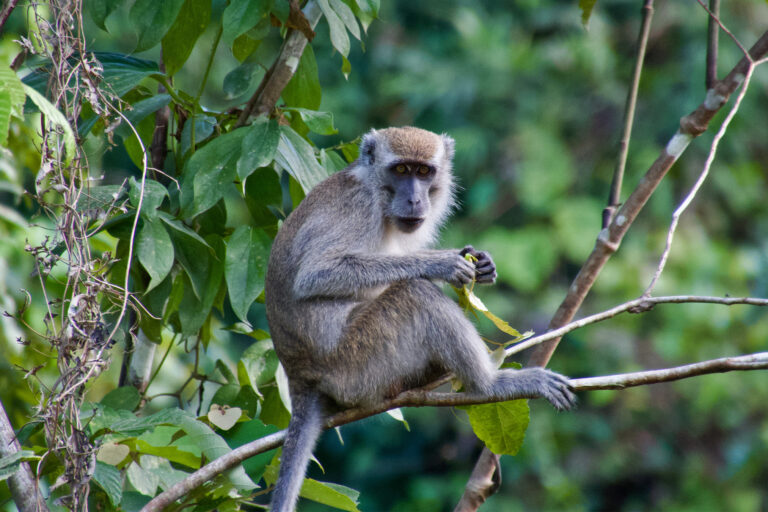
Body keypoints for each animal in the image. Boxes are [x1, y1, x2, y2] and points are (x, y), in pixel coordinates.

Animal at [266, 126, 576, 510]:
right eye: (401, 170)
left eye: (424, 172)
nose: (415, 199)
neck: (376, 192)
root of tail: (299, 376)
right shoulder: (358, 209)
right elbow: (316, 275)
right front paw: (441, 263)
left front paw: (481, 263)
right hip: (355, 363)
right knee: (415, 294)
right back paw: (489, 385)